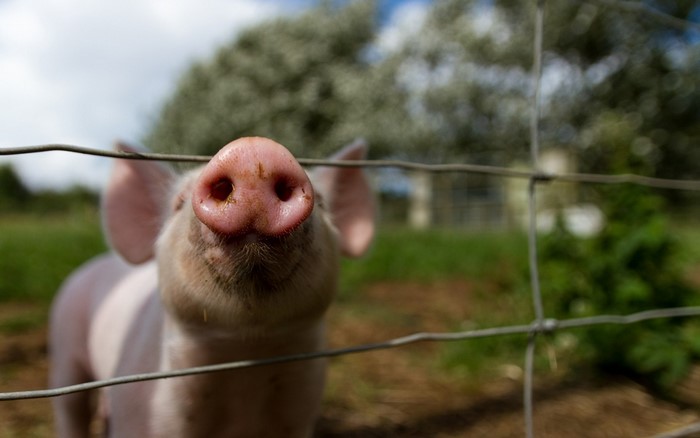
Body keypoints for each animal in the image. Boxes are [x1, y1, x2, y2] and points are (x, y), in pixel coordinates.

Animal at [49, 136, 375, 438]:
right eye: (178, 203)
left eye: (322, 202)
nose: (253, 148)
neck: (246, 358)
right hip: (64, 343)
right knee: (70, 406)